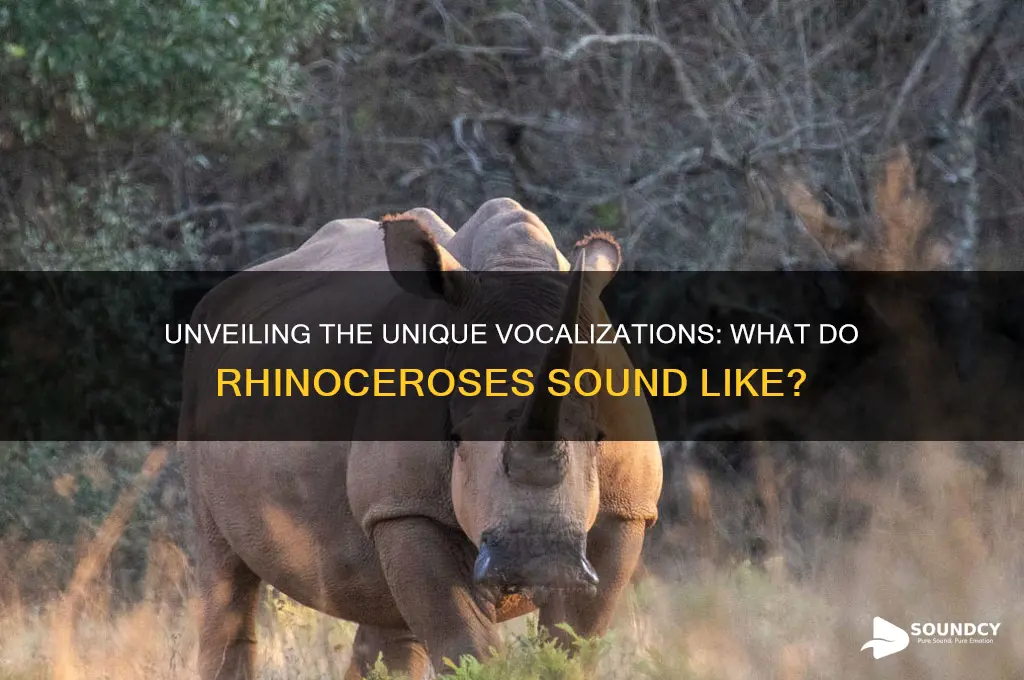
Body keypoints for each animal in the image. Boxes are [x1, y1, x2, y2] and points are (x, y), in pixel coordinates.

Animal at [179, 198, 663, 679]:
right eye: (456, 438)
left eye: (599, 438)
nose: (538, 560)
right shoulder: (407, 507)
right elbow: (466, 643)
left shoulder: (625, 511)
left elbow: (573, 643)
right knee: (223, 569)